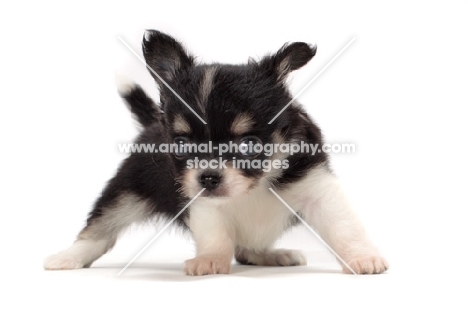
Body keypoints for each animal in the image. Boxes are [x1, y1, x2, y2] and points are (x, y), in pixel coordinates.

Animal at [44, 30, 388, 276]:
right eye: (182, 145)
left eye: (249, 145)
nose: (208, 178)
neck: (253, 186)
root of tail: (152, 120)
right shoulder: (200, 200)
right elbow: (215, 233)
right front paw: (209, 260)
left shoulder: (317, 187)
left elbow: (343, 226)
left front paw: (362, 257)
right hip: (127, 189)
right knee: (100, 228)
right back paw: (68, 257)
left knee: (249, 246)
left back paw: (270, 254)